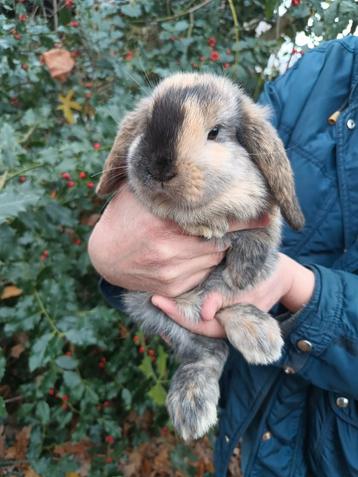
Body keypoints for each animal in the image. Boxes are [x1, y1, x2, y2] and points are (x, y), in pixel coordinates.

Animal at [96, 72, 304, 440]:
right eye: (148, 124)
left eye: (215, 132)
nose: (160, 167)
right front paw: (209, 228)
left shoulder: (263, 219)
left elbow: (260, 235)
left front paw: (241, 272)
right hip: (156, 311)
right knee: (207, 354)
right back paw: (193, 408)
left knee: (225, 313)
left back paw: (260, 336)